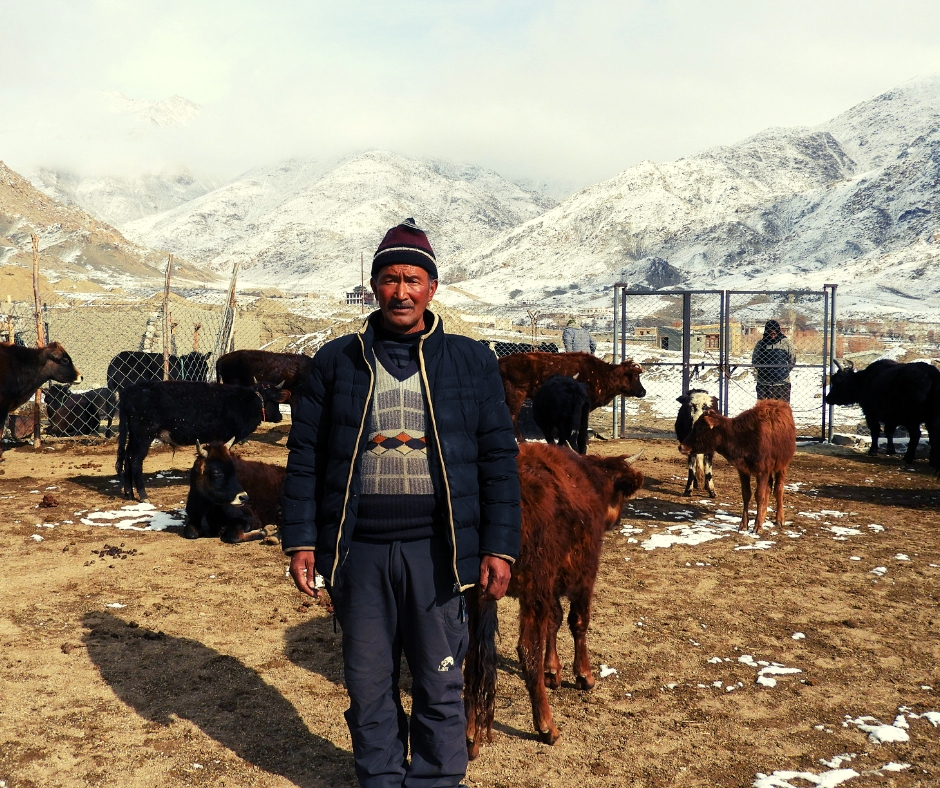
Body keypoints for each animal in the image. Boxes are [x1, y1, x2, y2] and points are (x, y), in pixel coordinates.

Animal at [117, 380, 288, 502]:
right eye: (276, 401)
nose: (280, 417)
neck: (245, 401)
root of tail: (130, 390)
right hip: (143, 436)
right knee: (135, 460)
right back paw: (143, 495)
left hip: (134, 436)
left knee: (127, 458)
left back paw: (129, 493)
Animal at [464, 444, 648, 756]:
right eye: (621, 495)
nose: (618, 520)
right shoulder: (583, 575)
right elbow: (578, 622)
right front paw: (583, 675)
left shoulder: (550, 587)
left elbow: (555, 621)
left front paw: (553, 670)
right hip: (531, 588)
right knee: (527, 649)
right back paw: (547, 727)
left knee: (470, 655)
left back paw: (469, 735)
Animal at [496, 352, 644, 438]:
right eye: (635, 376)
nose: (644, 392)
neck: (601, 373)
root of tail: (501, 361)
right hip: (516, 395)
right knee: (512, 417)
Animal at [680, 400, 796, 536]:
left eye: (699, 428)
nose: (681, 447)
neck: (742, 437)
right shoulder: (743, 470)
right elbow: (746, 495)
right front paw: (744, 525)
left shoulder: (762, 471)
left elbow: (759, 496)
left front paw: (758, 526)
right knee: (769, 488)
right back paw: (763, 515)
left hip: (782, 466)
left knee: (778, 489)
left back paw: (779, 519)